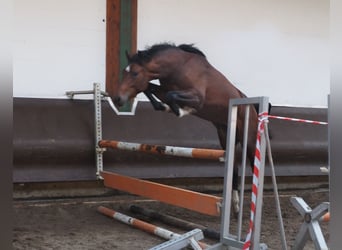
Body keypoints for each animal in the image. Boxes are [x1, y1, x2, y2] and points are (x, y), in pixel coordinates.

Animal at [113, 43, 262, 215]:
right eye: (124, 72)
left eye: (135, 73)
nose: (117, 99)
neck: (178, 67)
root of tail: (251, 107)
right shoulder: (164, 89)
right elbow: (151, 88)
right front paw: (165, 107)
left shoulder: (197, 97)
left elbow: (171, 96)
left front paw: (182, 110)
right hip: (225, 137)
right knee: (234, 169)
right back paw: (236, 206)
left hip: (249, 140)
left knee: (253, 164)